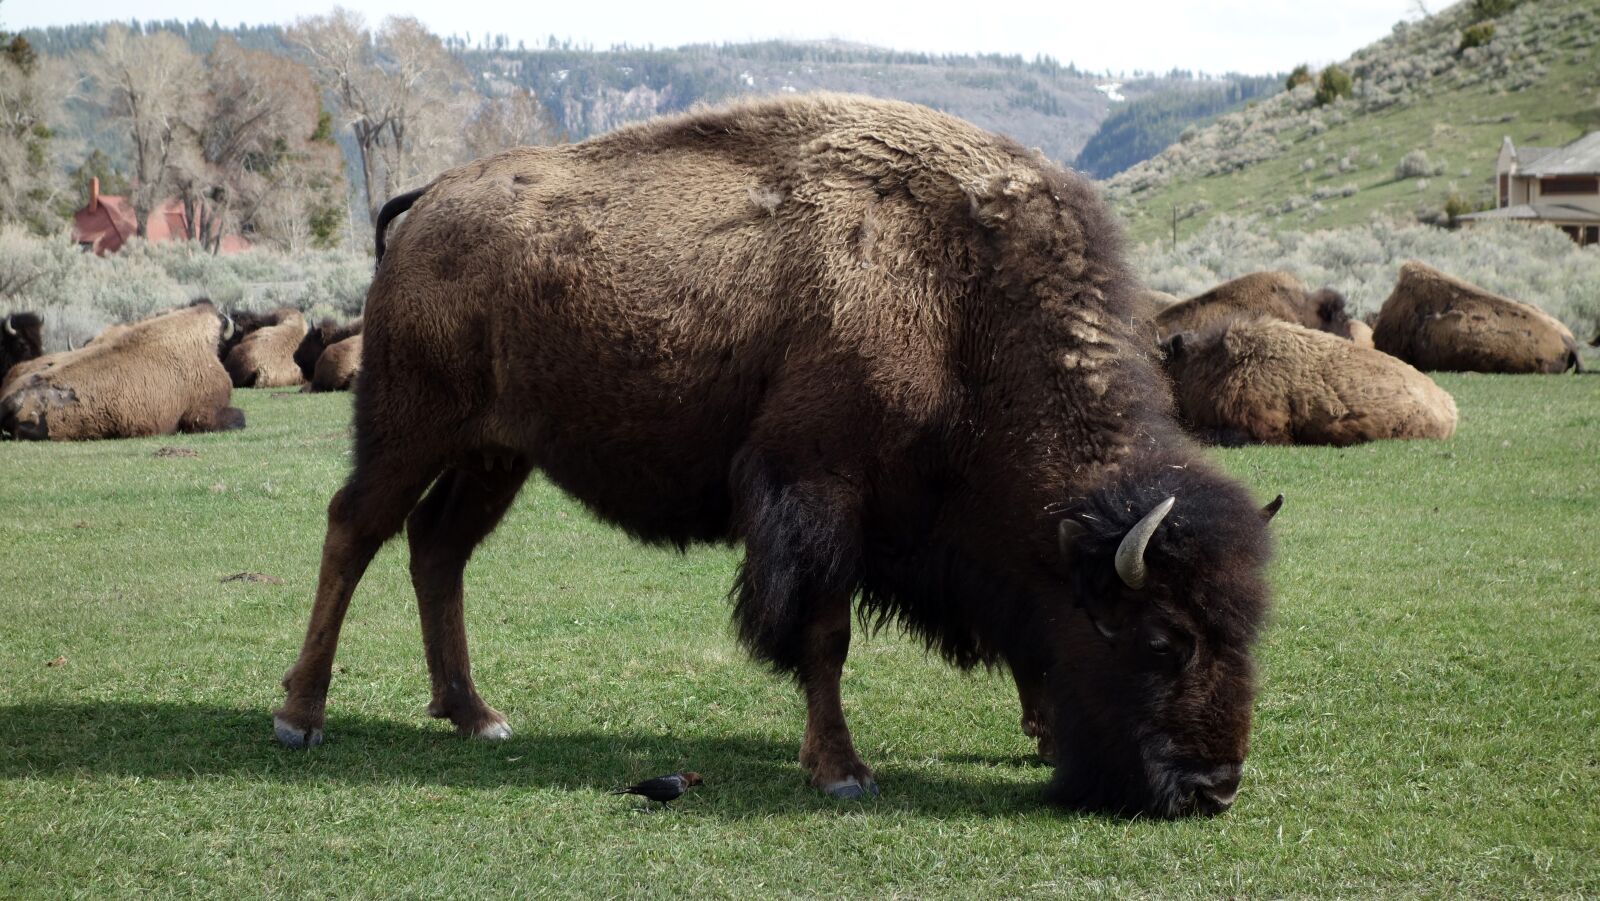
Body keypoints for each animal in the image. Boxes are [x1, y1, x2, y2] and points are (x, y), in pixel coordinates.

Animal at [272, 94, 1280, 818]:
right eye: (1164, 639)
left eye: (1247, 631)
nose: (1214, 788)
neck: (959, 305)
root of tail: (431, 199)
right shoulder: (817, 492)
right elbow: (825, 636)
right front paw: (841, 771)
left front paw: (1034, 728)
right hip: (411, 427)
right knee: (355, 528)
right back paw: (299, 716)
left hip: (495, 453)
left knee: (438, 547)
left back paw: (475, 715)